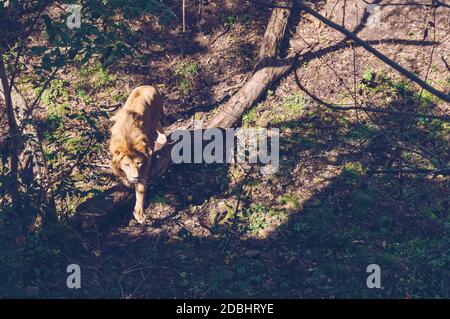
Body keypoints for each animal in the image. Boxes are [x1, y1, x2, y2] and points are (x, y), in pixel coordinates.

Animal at [109, 86, 167, 224]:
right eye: (126, 165)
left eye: (139, 163)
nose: (135, 177)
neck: (127, 142)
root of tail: (149, 86)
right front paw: (126, 180)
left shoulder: (144, 165)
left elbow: (140, 189)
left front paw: (139, 213)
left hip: (154, 117)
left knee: (157, 126)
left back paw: (162, 139)